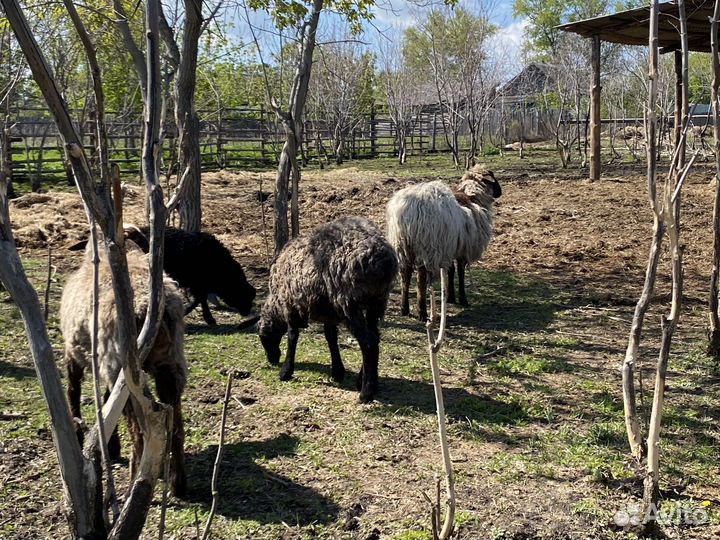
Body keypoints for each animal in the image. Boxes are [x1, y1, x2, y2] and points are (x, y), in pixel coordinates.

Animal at [60, 239, 188, 497]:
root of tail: (145, 307)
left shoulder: (73, 354)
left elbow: (74, 391)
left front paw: (80, 433)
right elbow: (106, 403)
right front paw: (111, 443)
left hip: (122, 368)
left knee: (139, 435)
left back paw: (132, 485)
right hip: (170, 364)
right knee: (176, 424)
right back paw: (178, 482)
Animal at [125, 226, 256, 326]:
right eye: (243, 295)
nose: (246, 312)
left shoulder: (198, 284)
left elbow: (200, 299)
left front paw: (207, 318)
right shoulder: (197, 283)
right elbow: (199, 300)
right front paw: (205, 317)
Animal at [258, 216, 398, 403]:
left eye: (262, 337)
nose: (272, 360)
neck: (277, 302)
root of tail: (382, 258)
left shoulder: (291, 305)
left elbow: (292, 337)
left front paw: (286, 371)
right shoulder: (328, 313)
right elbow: (331, 338)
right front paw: (337, 371)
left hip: (349, 302)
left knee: (367, 342)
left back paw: (366, 393)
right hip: (377, 301)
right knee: (375, 337)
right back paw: (368, 382)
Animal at [385, 165, 501, 321]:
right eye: (493, 178)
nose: (500, 192)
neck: (473, 197)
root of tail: (408, 210)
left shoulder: (450, 246)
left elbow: (451, 271)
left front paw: (451, 297)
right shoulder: (462, 250)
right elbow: (460, 272)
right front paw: (463, 299)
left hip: (403, 247)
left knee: (406, 276)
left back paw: (404, 309)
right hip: (426, 245)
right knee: (421, 278)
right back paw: (422, 312)